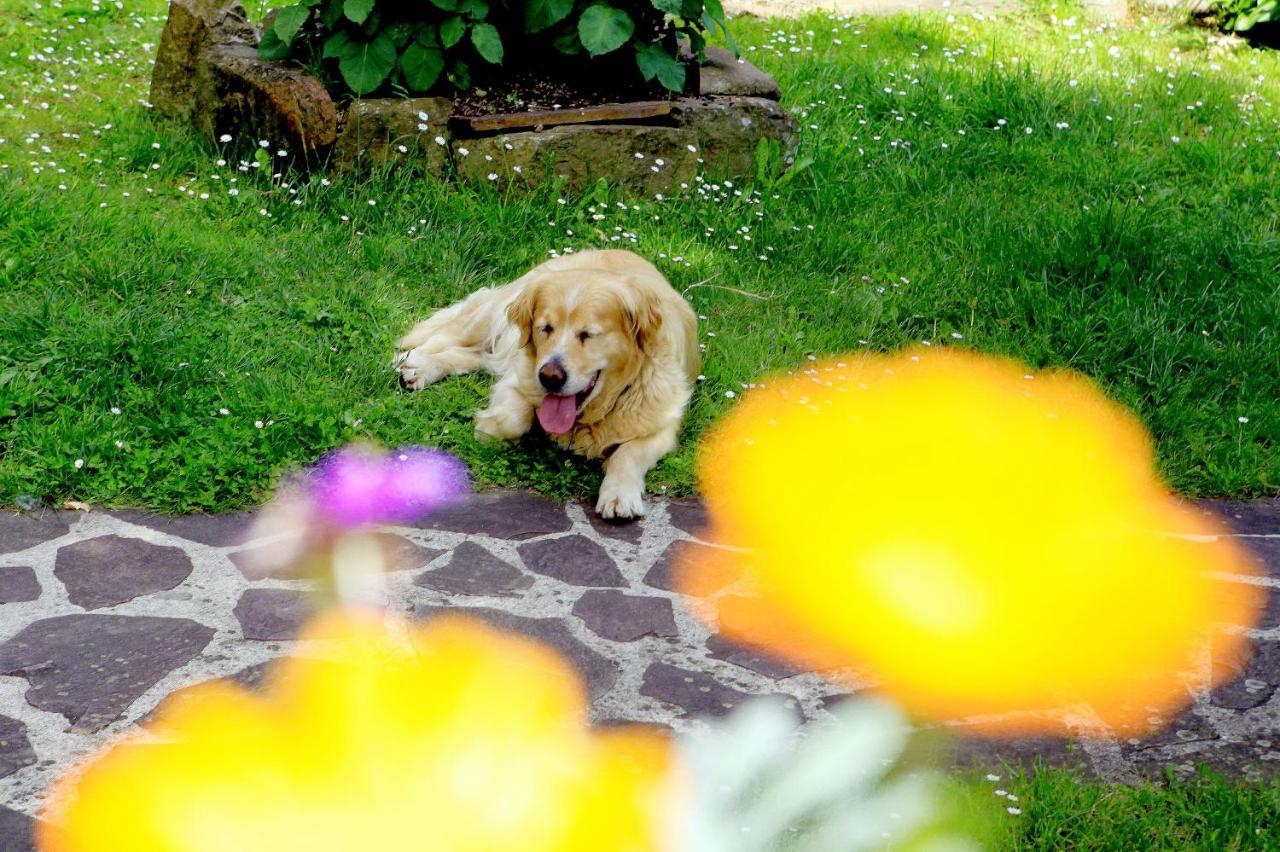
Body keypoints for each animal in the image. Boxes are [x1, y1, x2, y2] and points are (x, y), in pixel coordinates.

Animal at [396, 249, 701, 516]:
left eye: (588, 334)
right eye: (545, 328)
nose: (550, 377)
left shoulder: (662, 427)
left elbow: (629, 453)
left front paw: (619, 495)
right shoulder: (519, 376)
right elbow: (511, 419)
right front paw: (492, 429)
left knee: (471, 354)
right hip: (492, 316)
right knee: (445, 336)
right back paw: (413, 363)